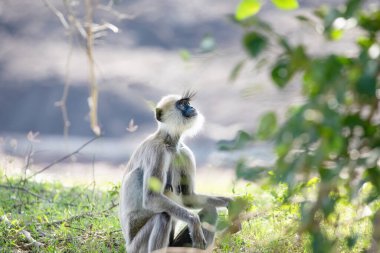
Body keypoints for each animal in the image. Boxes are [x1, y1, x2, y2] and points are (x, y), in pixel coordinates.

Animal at [119, 92, 232, 252]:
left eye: (187, 103)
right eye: (182, 104)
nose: (192, 108)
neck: (169, 143)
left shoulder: (185, 153)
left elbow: (188, 197)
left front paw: (231, 202)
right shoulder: (157, 151)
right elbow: (152, 197)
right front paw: (194, 221)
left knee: (210, 210)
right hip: (137, 246)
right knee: (163, 217)